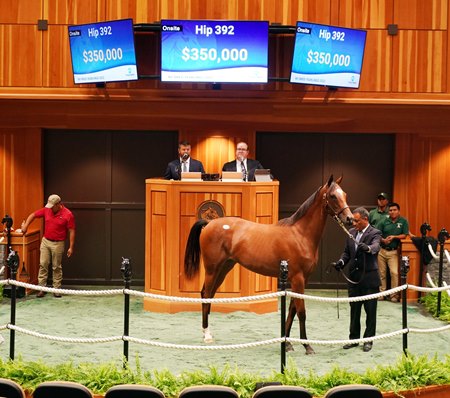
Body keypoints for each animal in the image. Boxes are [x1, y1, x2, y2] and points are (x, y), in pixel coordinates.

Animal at [183, 175, 352, 354]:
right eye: (333, 196)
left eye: (345, 194)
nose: (350, 219)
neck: (300, 235)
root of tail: (209, 224)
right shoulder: (297, 279)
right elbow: (301, 312)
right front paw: (307, 346)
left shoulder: (301, 280)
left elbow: (292, 310)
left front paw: (287, 343)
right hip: (212, 269)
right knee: (206, 294)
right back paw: (207, 335)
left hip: (224, 268)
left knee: (208, 294)